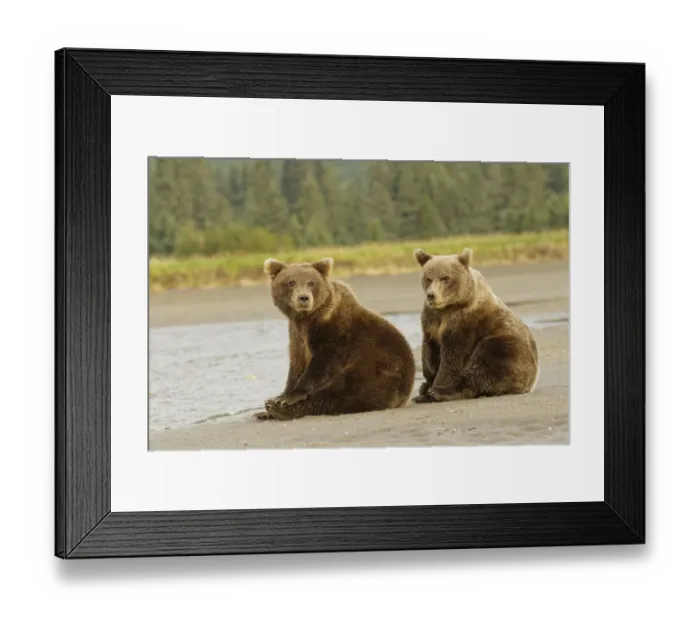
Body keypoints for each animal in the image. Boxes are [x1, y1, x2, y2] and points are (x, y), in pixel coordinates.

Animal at [253, 256, 416, 421]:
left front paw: (285, 399)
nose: (303, 298)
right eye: (291, 282)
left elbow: (322, 364)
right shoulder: (296, 336)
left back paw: (276, 408)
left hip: (377, 367)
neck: (306, 319)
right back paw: (266, 411)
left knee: (341, 391)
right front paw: (282, 395)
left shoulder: (335, 334)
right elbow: (296, 366)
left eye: (311, 282)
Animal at [412, 247, 539, 404]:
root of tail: (531, 383)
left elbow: (453, 358)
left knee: (482, 370)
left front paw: (434, 387)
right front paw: (427, 381)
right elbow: (429, 348)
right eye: (428, 278)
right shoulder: (431, 320)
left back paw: (438, 393)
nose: (431, 295)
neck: (447, 308)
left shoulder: (464, 324)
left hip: (506, 347)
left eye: (445, 278)